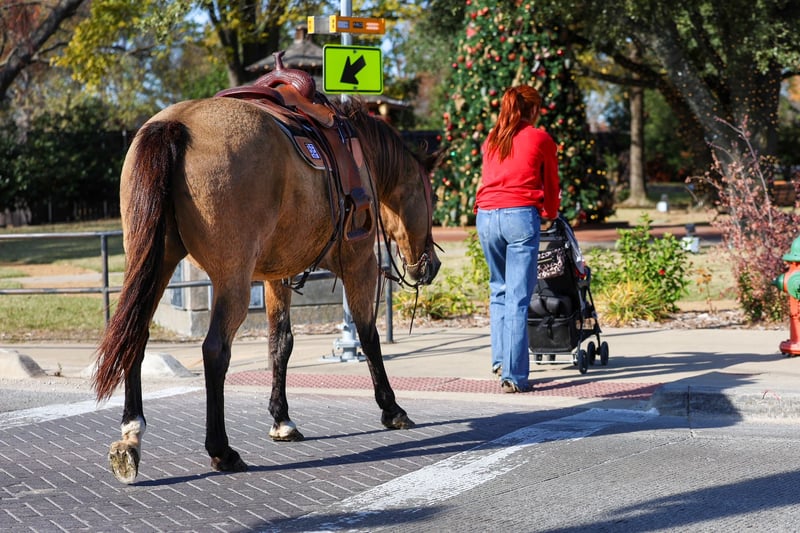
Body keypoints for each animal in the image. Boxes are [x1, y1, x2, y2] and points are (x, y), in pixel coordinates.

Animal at [92, 95, 441, 484]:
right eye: (431, 197)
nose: (431, 265)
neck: (360, 154)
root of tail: (176, 124)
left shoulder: (278, 275)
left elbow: (280, 343)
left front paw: (281, 419)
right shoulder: (361, 263)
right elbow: (369, 337)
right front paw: (391, 408)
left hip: (156, 262)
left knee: (134, 338)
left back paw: (131, 436)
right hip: (232, 279)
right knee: (215, 350)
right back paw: (221, 449)